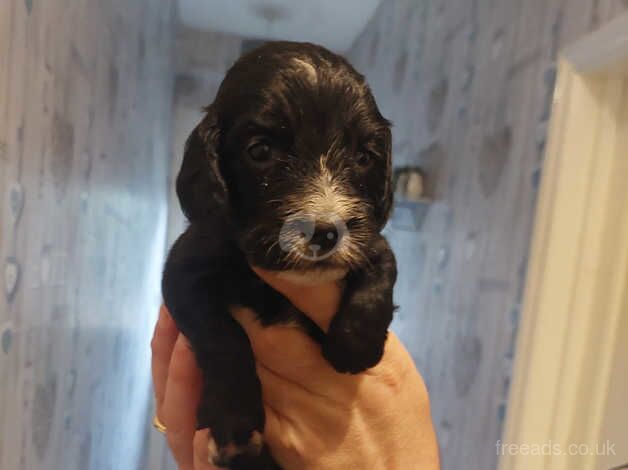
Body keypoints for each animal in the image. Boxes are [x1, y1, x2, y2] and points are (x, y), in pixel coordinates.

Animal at [162, 41, 398, 470]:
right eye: (260, 151)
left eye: (364, 157)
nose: (326, 232)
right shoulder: (184, 268)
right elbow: (222, 335)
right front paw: (235, 419)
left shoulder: (369, 238)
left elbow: (382, 265)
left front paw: (356, 344)